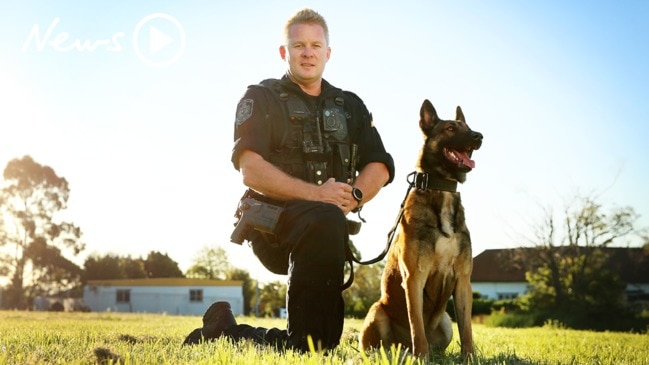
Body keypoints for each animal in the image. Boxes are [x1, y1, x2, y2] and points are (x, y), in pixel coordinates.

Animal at [360, 99, 480, 358]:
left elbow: (467, 329)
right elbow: (417, 326)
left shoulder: (463, 281)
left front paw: (469, 358)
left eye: (468, 128)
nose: (479, 136)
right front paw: (421, 358)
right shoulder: (414, 277)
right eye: (450, 129)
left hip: (445, 322)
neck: (442, 188)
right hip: (377, 311)